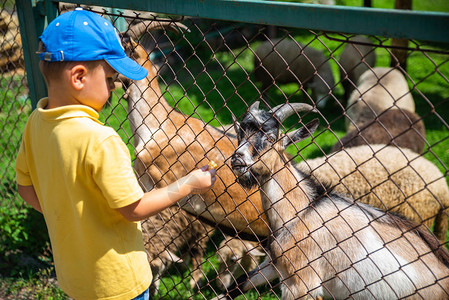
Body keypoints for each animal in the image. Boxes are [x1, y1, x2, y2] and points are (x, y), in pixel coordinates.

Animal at [228, 101, 448, 300]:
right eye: (240, 134)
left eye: (271, 138)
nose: (237, 159)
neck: (301, 211)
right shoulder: (274, 265)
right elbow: (238, 285)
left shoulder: (301, 281)